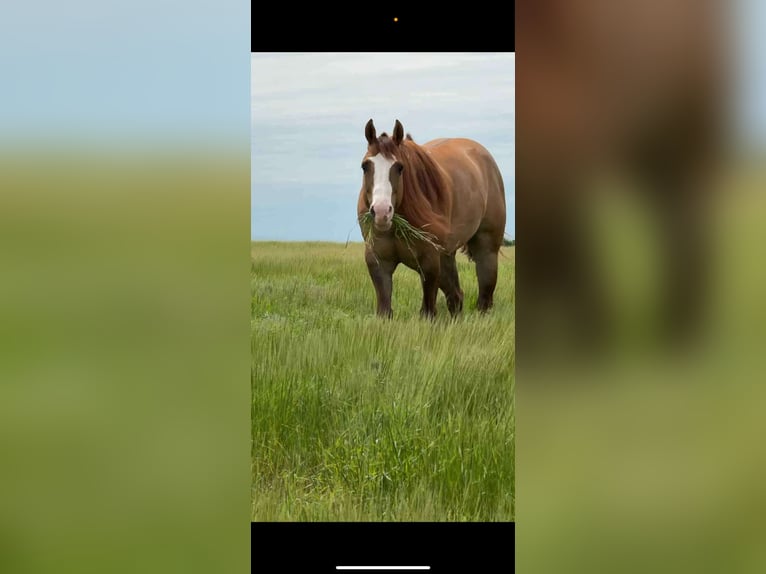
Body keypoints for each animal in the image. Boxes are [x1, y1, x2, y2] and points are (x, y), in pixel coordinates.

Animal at [357, 119, 507, 318]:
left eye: (399, 167)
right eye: (365, 166)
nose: (381, 212)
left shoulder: (429, 262)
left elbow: (427, 311)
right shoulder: (379, 263)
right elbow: (384, 310)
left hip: (486, 250)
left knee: (484, 296)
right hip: (446, 257)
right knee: (456, 296)